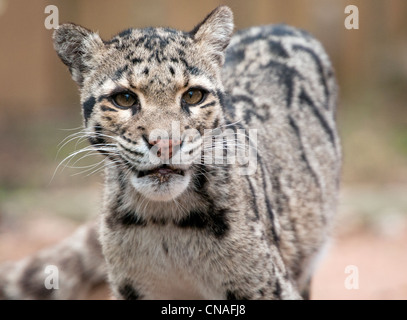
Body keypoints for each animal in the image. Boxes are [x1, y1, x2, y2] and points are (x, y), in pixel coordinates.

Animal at [0, 5, 342, 300]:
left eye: (193, 95)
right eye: (124, 98)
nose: (165, 142)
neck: (165, 223)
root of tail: (280, 25)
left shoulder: (264, 285)